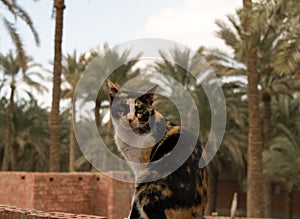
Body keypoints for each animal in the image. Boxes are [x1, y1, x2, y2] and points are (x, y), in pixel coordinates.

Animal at [108, 80, 209, 219]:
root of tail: (198, 213)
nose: (130, 119)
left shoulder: (141, 169)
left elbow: (134, 203)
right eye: (122, 108)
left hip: (148, 183)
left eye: (140, 110)